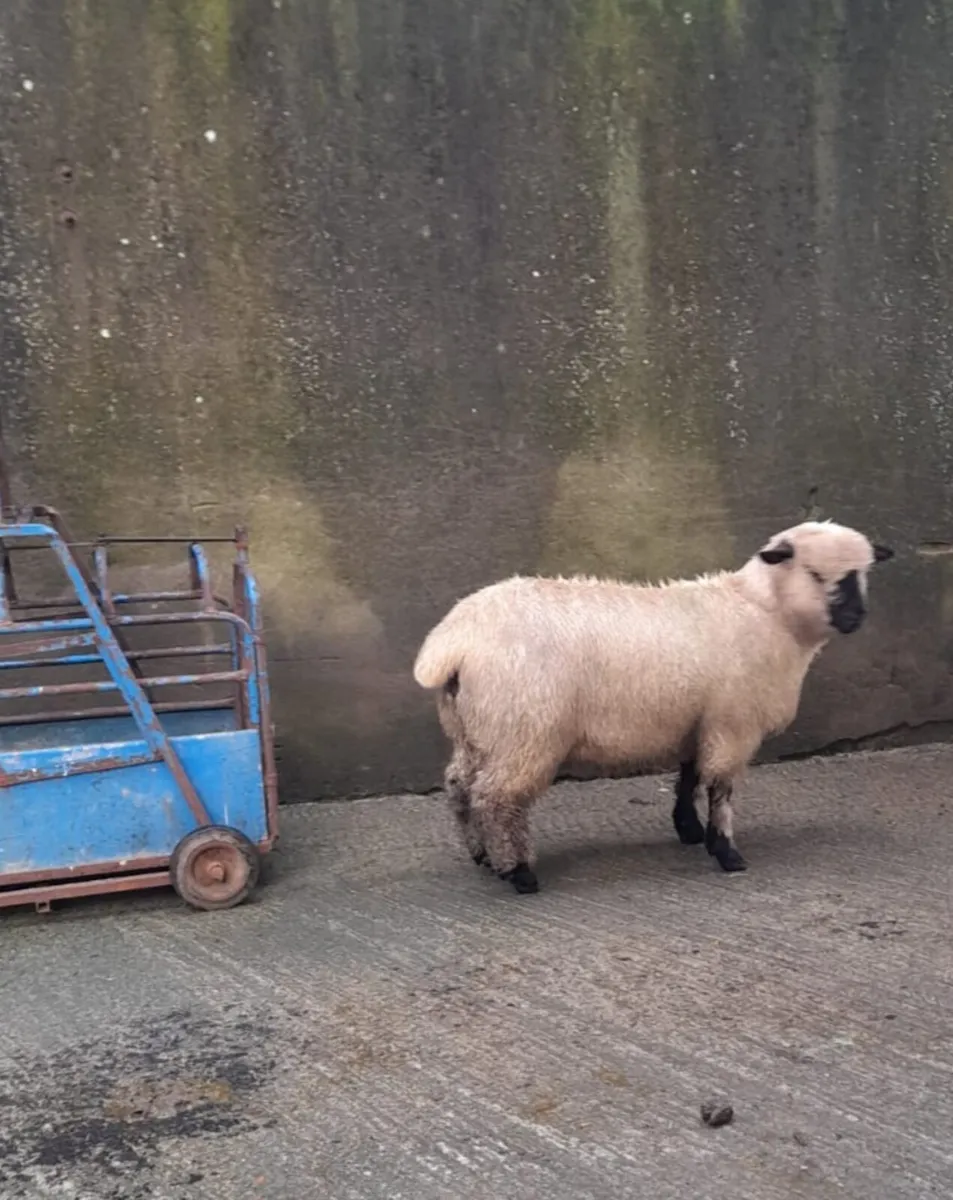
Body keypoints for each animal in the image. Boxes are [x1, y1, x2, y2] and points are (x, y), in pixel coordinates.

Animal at [413, 521, 894, 894]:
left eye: (862, 574)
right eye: (816, 573)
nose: (857, 618)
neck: (766, 615)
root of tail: (454, 641)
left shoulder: (696, 721)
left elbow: (690, 776)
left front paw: (689, 829)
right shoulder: (732, 723)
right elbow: (720, 788)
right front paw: (726, 851)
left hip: (477, 728)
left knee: (459, 786)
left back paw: (481, 853)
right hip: (525, 728)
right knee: (497, 798)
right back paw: (517, 871)